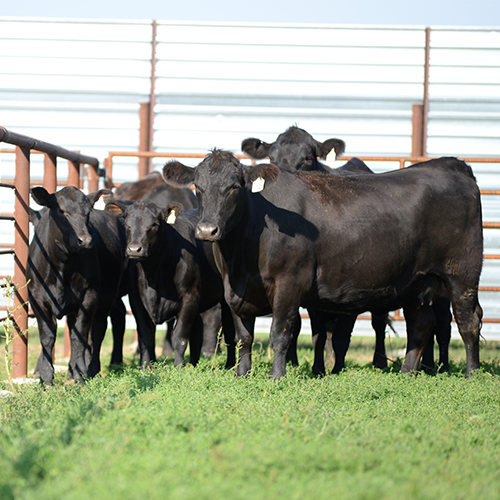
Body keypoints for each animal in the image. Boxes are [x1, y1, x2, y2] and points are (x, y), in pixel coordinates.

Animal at [27, 186, 126, 384]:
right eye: (62, 212)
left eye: (87, 213)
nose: (85, 240)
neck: (61, 269)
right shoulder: (37, 299)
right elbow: (47, 336)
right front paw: (46, 378)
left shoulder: (89, 298)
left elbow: (79, 336)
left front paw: (80, 376)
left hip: (106, 299)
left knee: (97, 332)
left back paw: (91, 369)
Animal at [105, 200, 234, 372]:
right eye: (127, 224)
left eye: (154, 224)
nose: (134, 249)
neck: (153, 274)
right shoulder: (137, 301)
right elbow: (145, 336)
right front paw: (145, 369)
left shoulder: (189, 297)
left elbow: (179, 336)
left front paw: (178, 369)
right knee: (197, 332)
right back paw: (193, 364)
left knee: (229, 329)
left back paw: (230, 365)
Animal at [164, 149, 484, 378]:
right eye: (198, 187)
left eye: (234, 187)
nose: (207, 230)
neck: (241, 257)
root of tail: (450, 165)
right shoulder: (235, 292)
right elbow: (244, 337)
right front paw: (242, 374)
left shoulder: (289, 283)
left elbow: (280, 333)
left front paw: (276, 376)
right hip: (417, 282)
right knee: (420, 325)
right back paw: (406, 373)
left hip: (462, 274)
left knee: (468, 321)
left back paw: (472, 373)